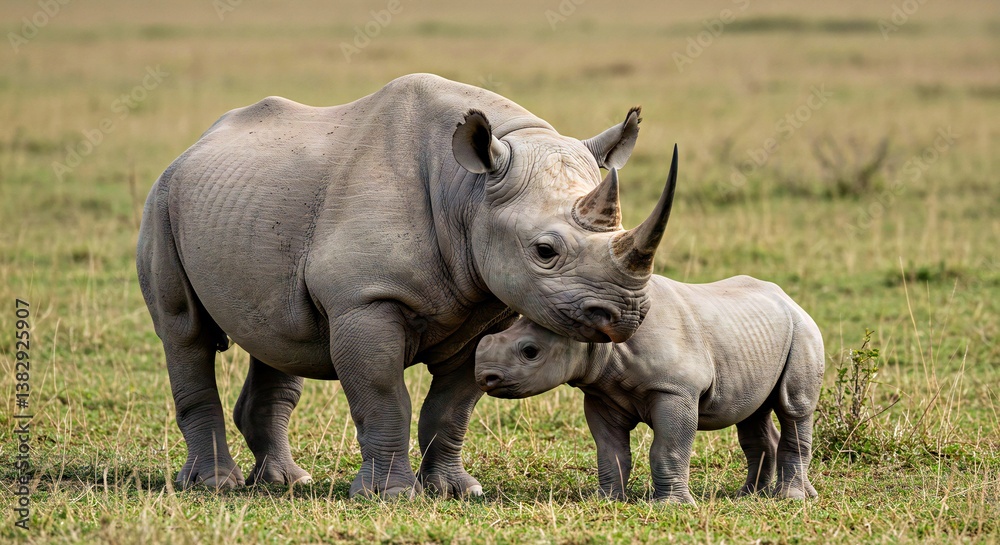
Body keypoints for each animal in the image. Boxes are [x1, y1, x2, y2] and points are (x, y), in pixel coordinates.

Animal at [136, 73, 678, 498]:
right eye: (545, 252)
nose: (627, 314)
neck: (471, 191)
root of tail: (193, 147)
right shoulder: (365, 298)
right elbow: (382, 395)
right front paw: (389, 495)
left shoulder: (487, 305)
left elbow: (452, 406)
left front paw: (454, 490)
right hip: (161, 200)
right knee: (184, 332)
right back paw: (213, 485)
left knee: (278, 339)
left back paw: (285, 482)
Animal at [475, 157, 824, 502]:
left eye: (530, 352)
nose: (485, 378)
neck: (602, 340)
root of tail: (790, 299)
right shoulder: (601, 391)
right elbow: (610, 451)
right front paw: (608, 500)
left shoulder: (676, 388)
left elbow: (667, 449)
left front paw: (670, 505)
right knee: (753, 412)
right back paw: (754, 495)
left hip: (804, 331)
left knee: (794, 408)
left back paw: (790, 497)